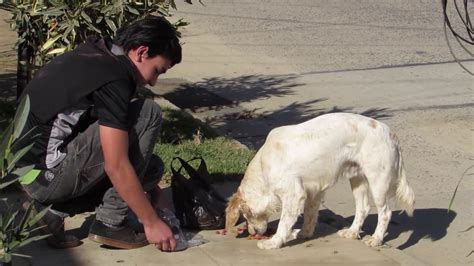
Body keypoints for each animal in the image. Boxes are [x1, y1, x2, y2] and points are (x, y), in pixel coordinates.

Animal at [226, 112, 414, 249]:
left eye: (247, 215)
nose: (252, 232)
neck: (264, 164)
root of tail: (391, 134)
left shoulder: (294, 195)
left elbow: (283, 223)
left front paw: (274, 242)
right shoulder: (313, 191)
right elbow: (309, 215)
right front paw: (303, 233)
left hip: (377, 182)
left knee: (385, 213)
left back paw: (376, 238)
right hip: (357, 179)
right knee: (363, 208)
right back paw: (352, 232)